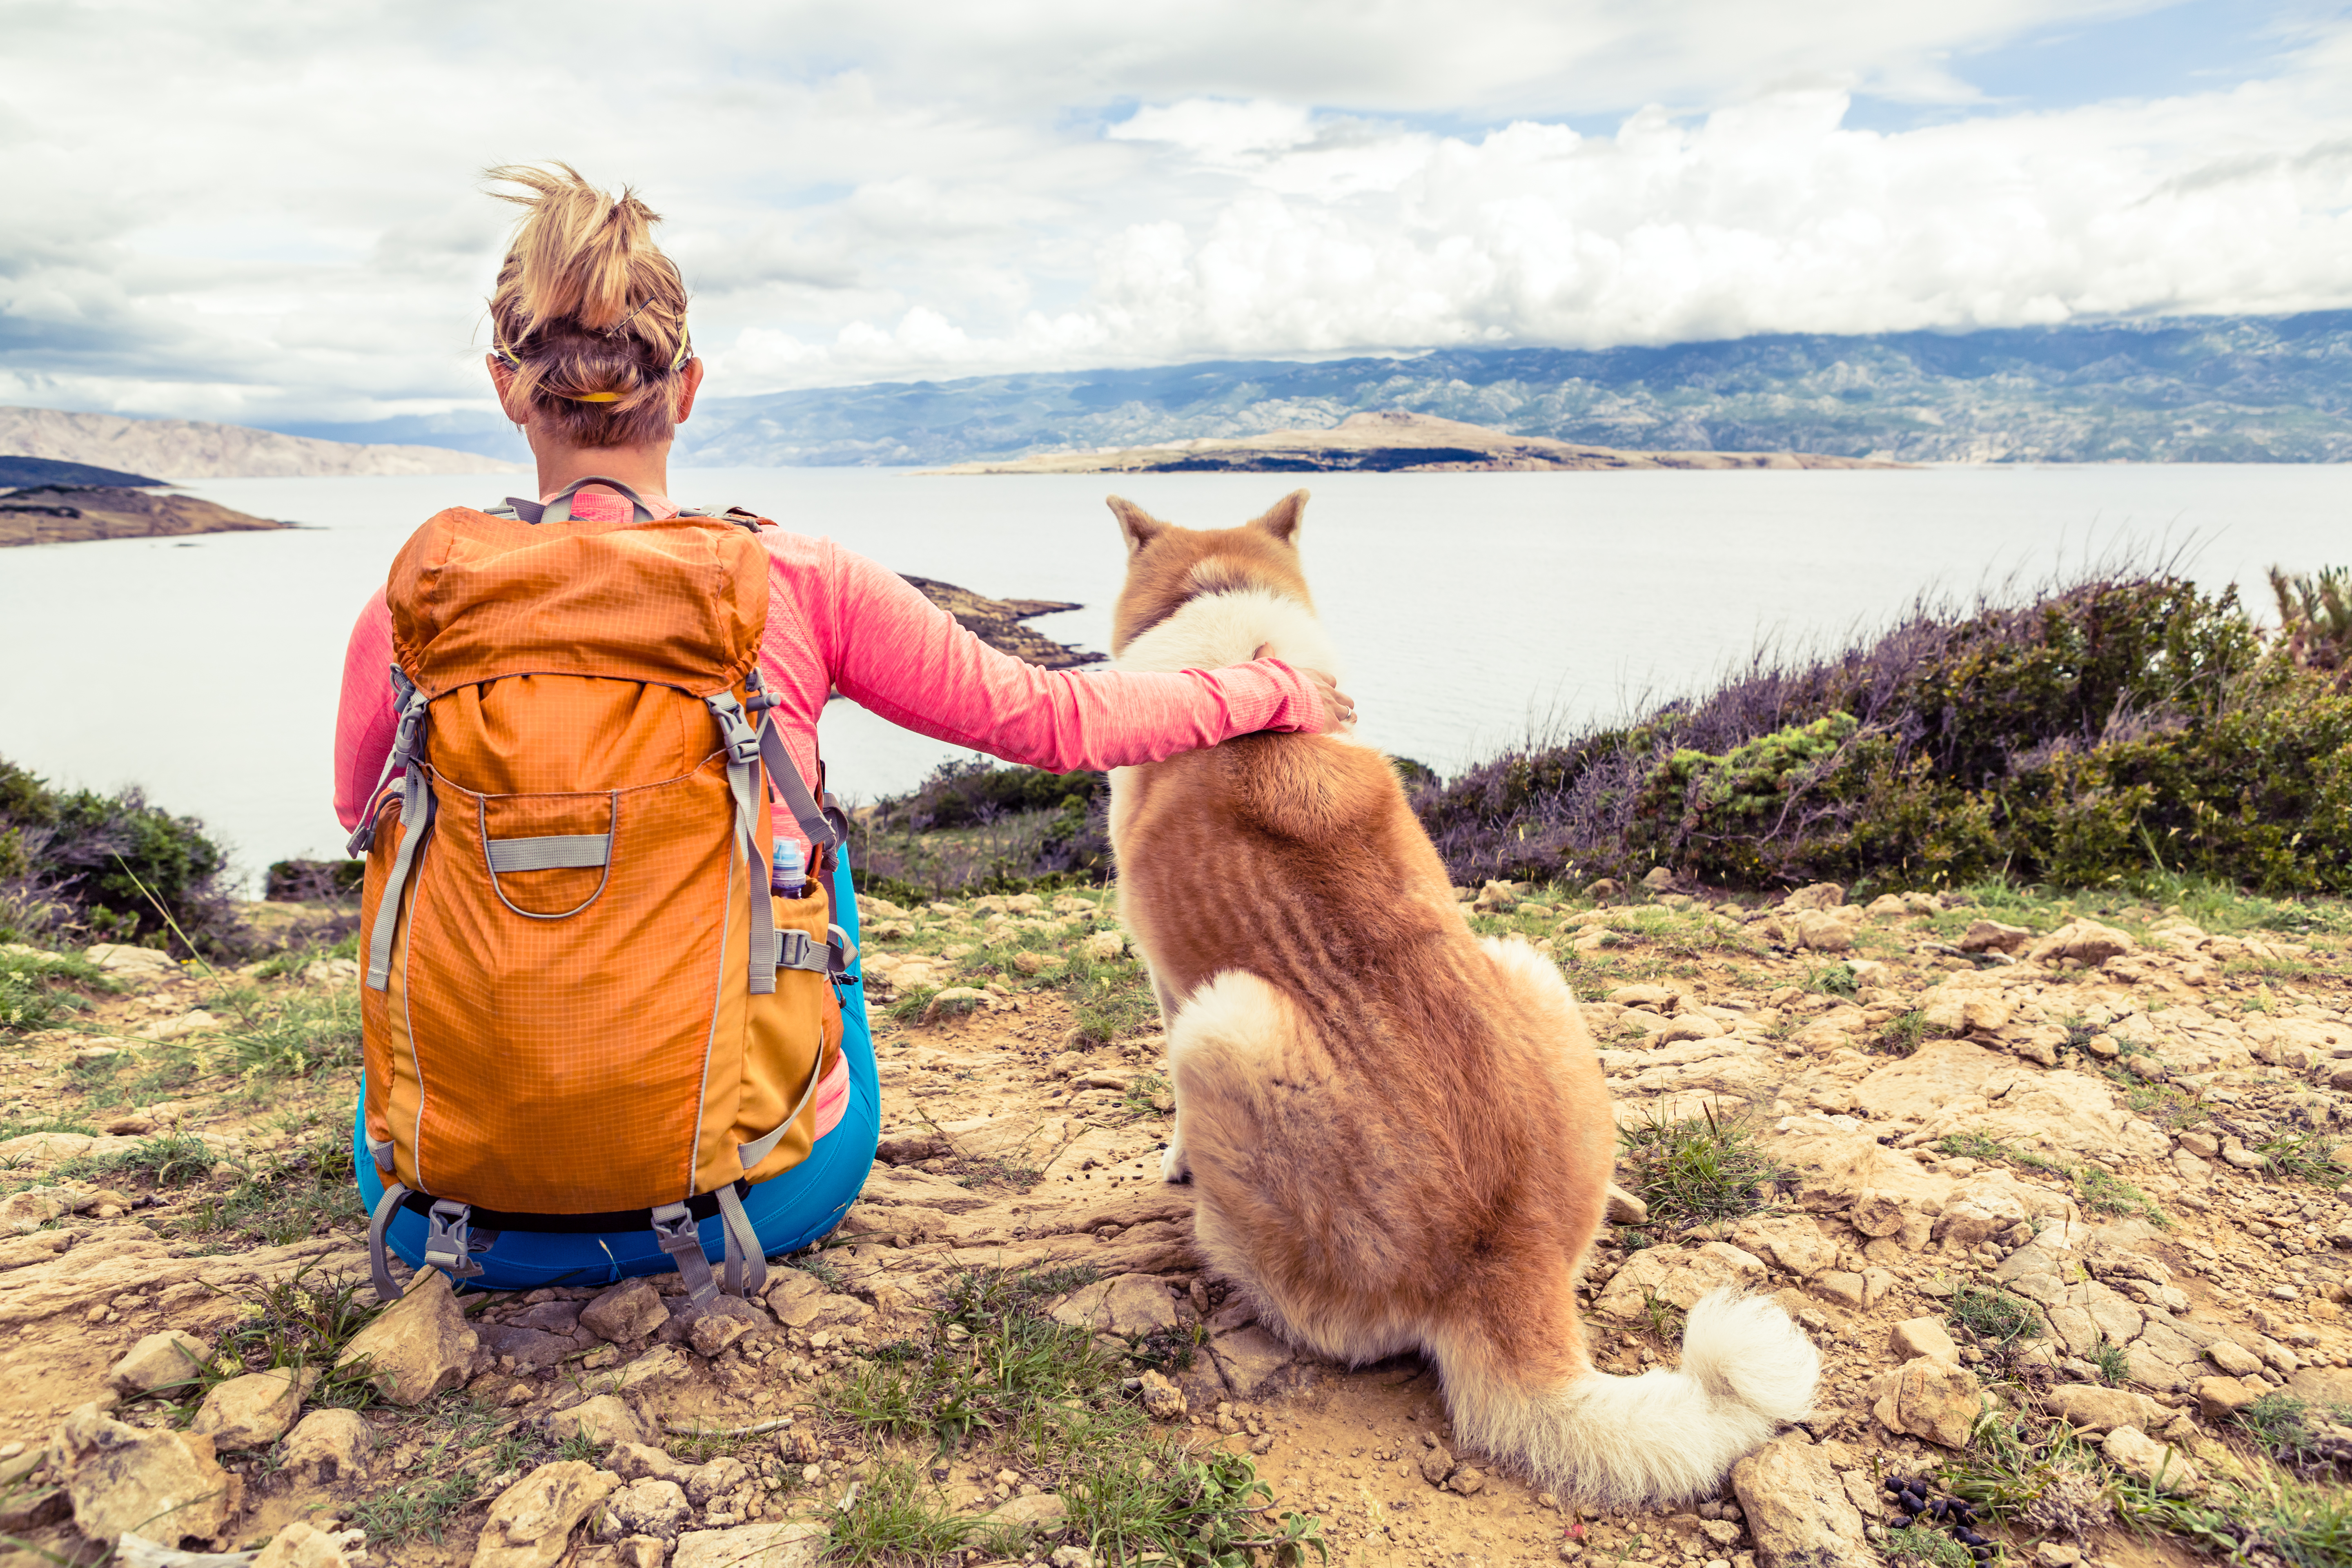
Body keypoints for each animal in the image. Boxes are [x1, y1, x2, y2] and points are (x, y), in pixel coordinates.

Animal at [1100, 491, 1815, 1504]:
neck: (1232, 631)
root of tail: (1502, 1261)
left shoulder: (1169, 986)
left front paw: (1172, 1162)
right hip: (1530, 966)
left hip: (1224, 1022)